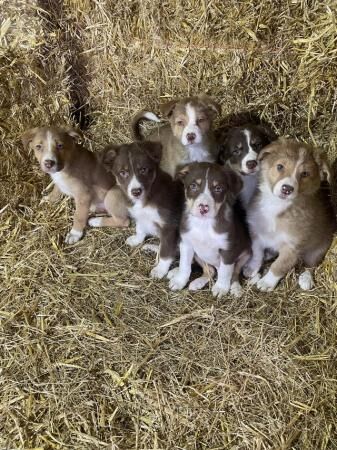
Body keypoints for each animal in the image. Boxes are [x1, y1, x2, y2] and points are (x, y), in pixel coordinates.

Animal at [167, 160, 251, 298]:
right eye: (193, 186)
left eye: (218, 189)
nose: (203, 208)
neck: (203, 224)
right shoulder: (186, 244)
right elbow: (184, 265)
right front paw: (179, 281)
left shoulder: (228, 250)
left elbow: (225, 272)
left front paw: (221, 287)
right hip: (199, 255)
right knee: (210, 270)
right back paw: (195, 282)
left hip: (246, 254)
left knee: (233, 273)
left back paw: (235, 288)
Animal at [243, 138, 334, 292]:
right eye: (280, 167)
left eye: (305, 174)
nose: (287, 189)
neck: (276, 205)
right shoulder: (256, 233)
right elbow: (257, 253)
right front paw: (252, 267)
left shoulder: (293, 247)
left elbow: (279, 265)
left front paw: (267, 282)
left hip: (318, 249)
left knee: (311, 265)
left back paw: (306, 279)